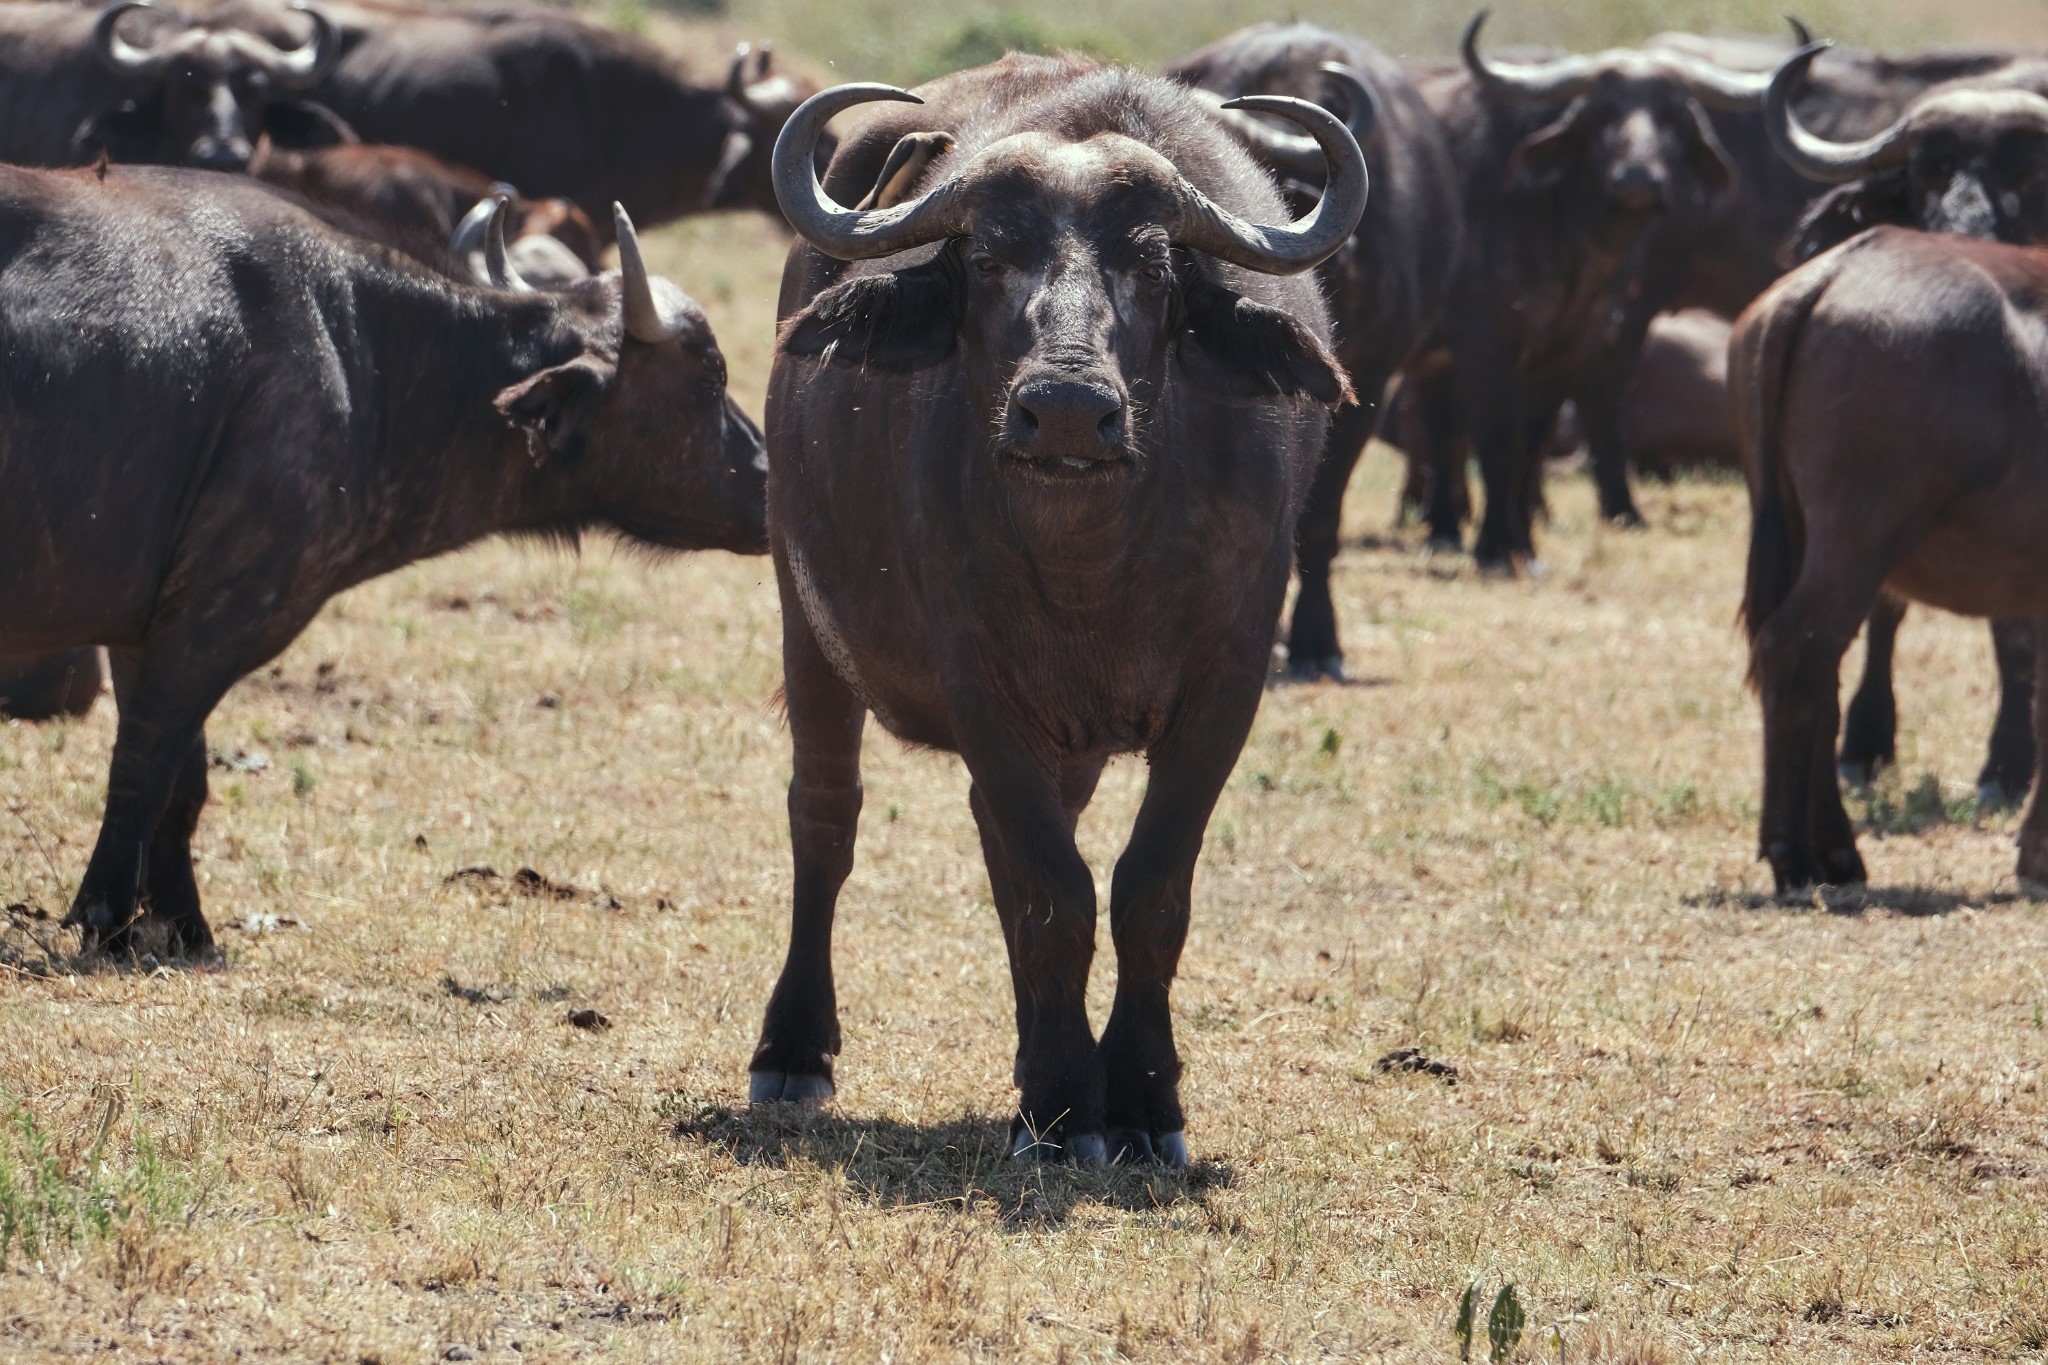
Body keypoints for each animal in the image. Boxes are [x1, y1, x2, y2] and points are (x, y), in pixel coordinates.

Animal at [0, 173, 765, 961]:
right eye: (710, 375)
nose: (767, 473)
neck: (361, 352)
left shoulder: (147, 624)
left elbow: (182, 784)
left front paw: (183, 924)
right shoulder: (220, 612)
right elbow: (143, 766)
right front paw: (105, 913)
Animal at [745, 56, 1368, 1162]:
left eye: (1154, 269)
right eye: (988, 258)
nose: (1069, 411)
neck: (1092, 566)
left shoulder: (1226, 690)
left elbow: (1142, 891)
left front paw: (1144, 1102)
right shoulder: (985, 693)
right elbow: (1053, 895)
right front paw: (1065, 1104)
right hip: (802, 617)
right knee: (825, 819)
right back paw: (794, 1049)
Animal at [1736, 229, 2048, 892]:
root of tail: (1834, 269)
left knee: (1818, 671)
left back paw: (1833, 853)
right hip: (1855, 542)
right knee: (1795, 649)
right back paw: (1796, 854)